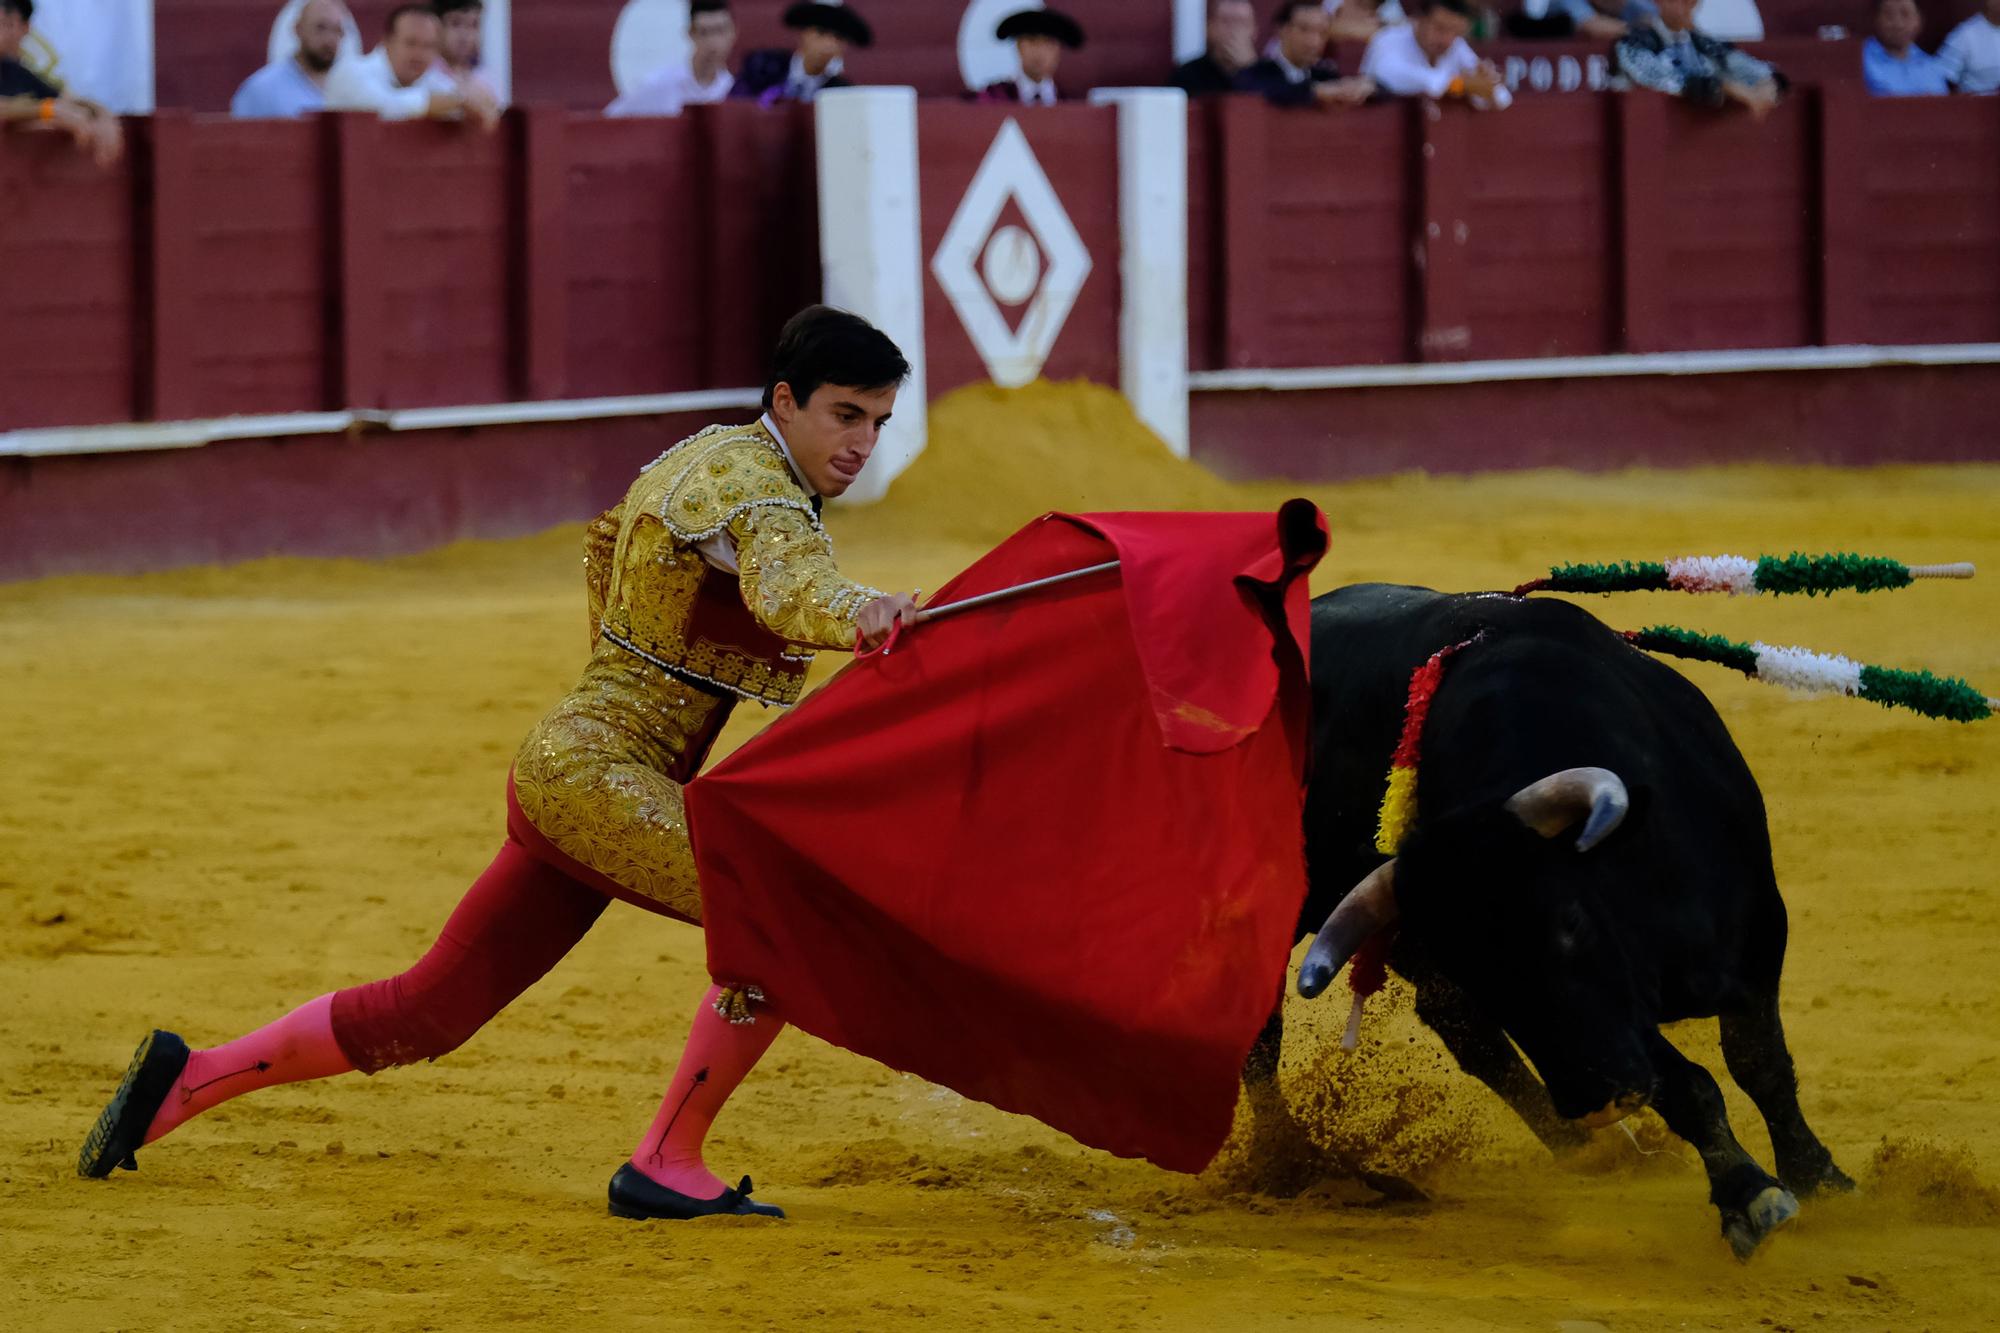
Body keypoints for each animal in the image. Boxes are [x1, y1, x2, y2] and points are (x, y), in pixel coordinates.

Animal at [1248, 584, 1856, 1256]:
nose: (1593, 1103)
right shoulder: (1620, 1012)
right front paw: (1749, 1194)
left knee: (1466, 1032)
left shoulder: (1756, 938)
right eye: (1471, 964)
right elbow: (1687, 1085)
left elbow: (1760, 1065)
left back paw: (1592, 1150)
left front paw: (1819, 1177)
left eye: (1572, 921)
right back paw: (1292, 1165)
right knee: (1266, 1038)